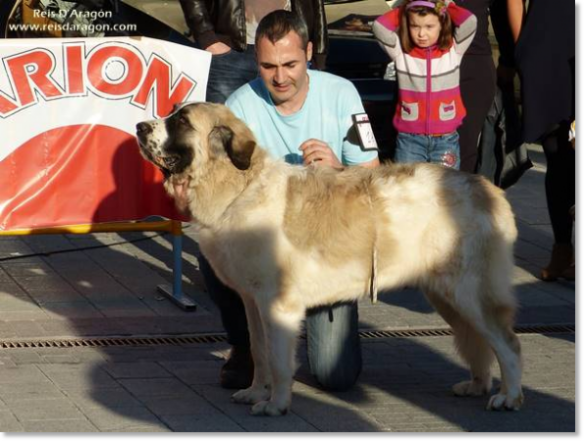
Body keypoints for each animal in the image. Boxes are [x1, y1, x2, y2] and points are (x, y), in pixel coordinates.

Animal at [138, 103, 524, 416]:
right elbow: (260, 351)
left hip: (469, 293)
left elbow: (277, 358)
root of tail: (488, 188)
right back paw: (477, 385)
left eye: (181, 121)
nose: (141, 127)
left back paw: (509, 397)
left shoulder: (277, 304)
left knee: (507, 343)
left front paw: (276, 404)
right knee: (478, 342)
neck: (239, 187)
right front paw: (255, 392)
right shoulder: (252, 301)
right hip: (446, 296)